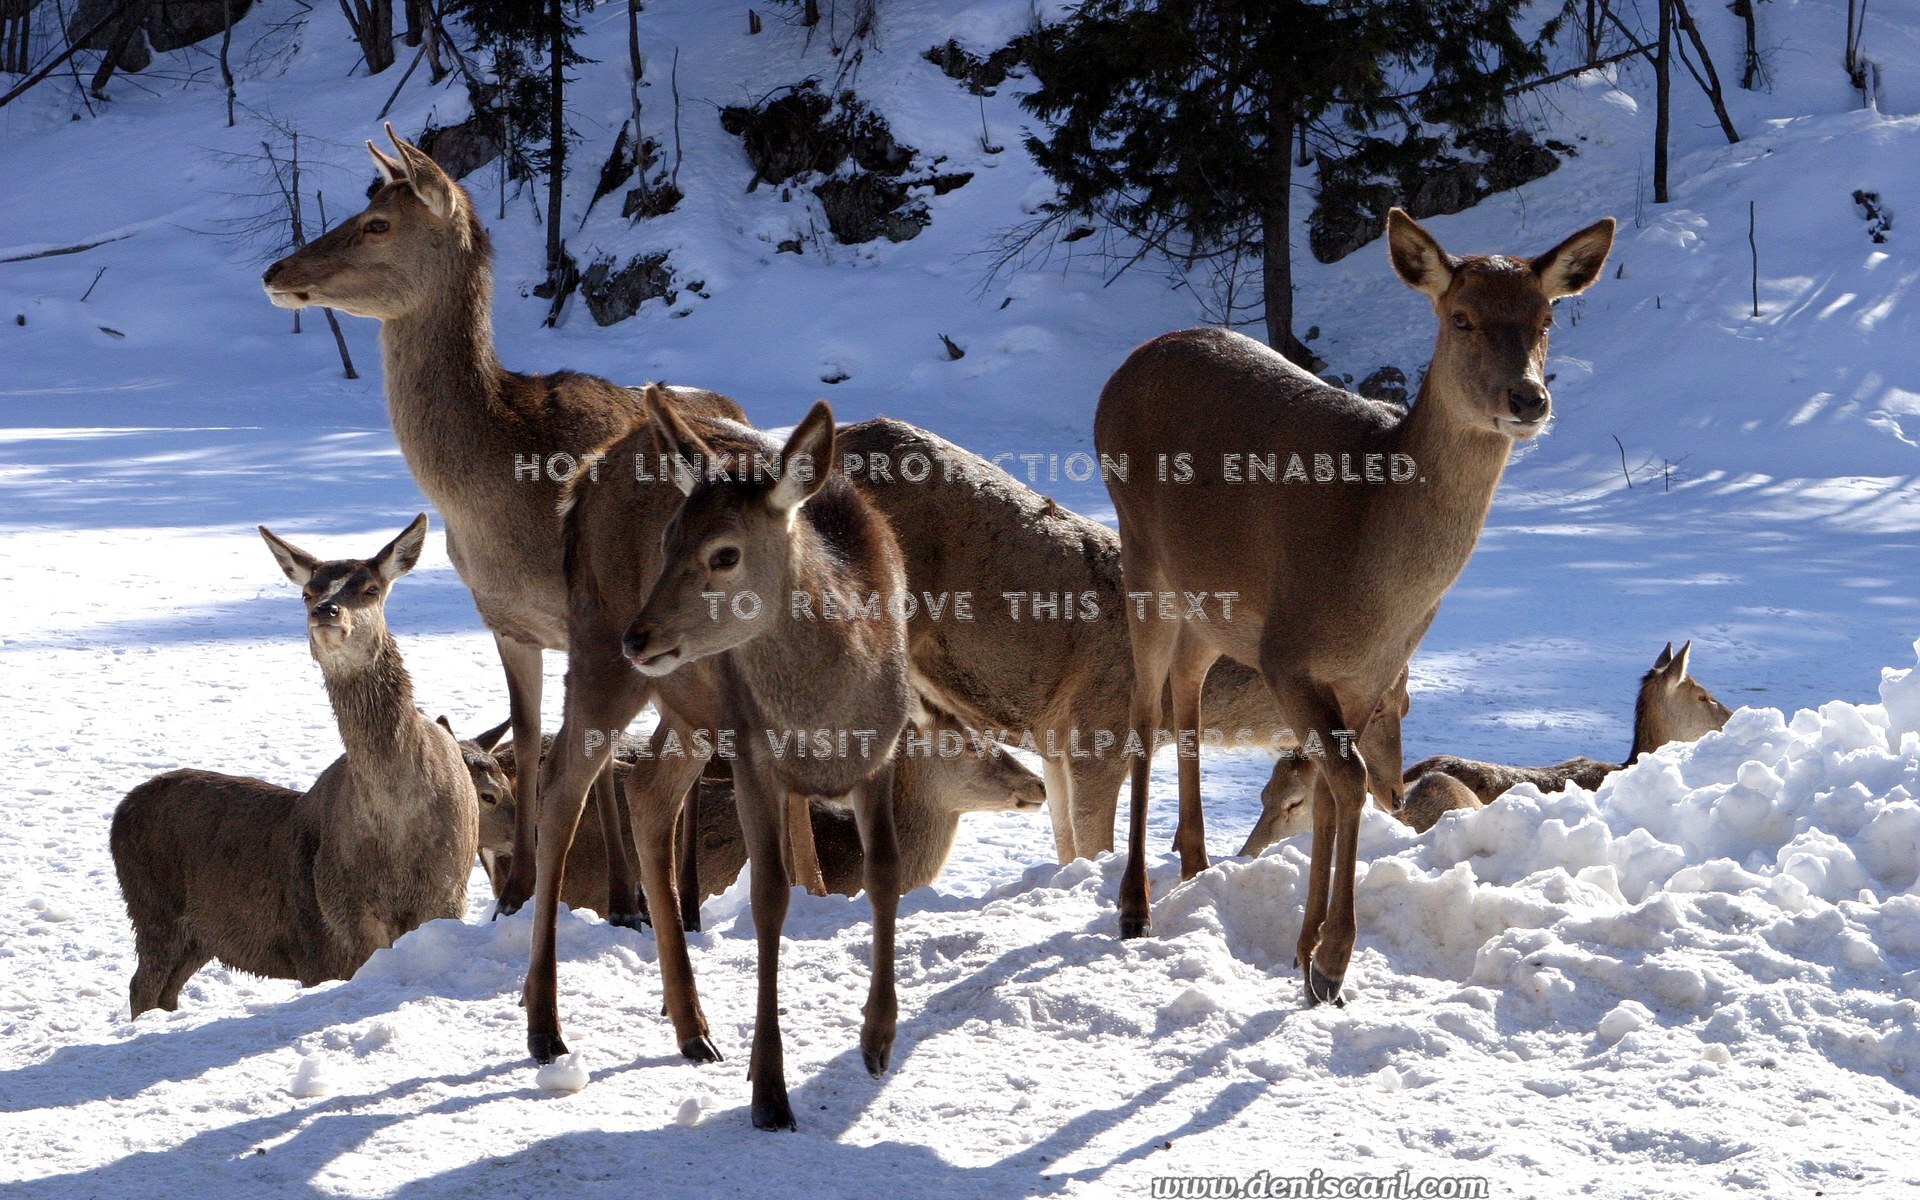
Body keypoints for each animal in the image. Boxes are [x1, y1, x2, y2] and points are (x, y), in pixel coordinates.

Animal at [111, 516, 479, 1015]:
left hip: (193, 935)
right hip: (152, 909)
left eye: (369, 588)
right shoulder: (332, 927)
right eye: (308, 591)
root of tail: (118, 814)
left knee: (162, 988)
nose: (326, 611)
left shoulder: (447, 896)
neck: (398, 831)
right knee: (141, 985)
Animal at [259, 124, 745, 930]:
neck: (499, 500)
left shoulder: (590, 622)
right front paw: (517, 898)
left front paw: (620, 902)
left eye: (377, 222)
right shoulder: (507, 620)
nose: (275, 270)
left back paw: (681, 905)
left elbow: (590, 765)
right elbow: (530, 738)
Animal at [1095, 207, 1616, 1006]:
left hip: (1212, 605)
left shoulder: (1373, 672)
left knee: (1187, 690)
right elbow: (1346, 781)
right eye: (1461, 317)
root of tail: (1119, 373)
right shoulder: (1285, 651)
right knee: (1143, 715)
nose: (1529, 399)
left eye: (1546, 316)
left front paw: (1306, 953)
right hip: (1143, 557)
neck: (1373, 584)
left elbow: (1339, 787)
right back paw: (1135, 905)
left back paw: (1196, 865)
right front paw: (1333, 961)